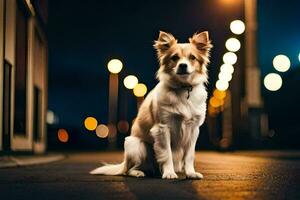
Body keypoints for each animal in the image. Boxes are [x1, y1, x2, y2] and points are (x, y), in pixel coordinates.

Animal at [90, 30, 212, 180]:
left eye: (192, 58)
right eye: (174, 58)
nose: (183, 65)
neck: (182, 89)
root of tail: (124, 162)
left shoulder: (193, 129)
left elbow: (189, 156)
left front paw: (190, 173)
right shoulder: (162, 128)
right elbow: (167, 154)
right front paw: (169, 173)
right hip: (137, 146)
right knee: (130, 169)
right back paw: (138, 172)